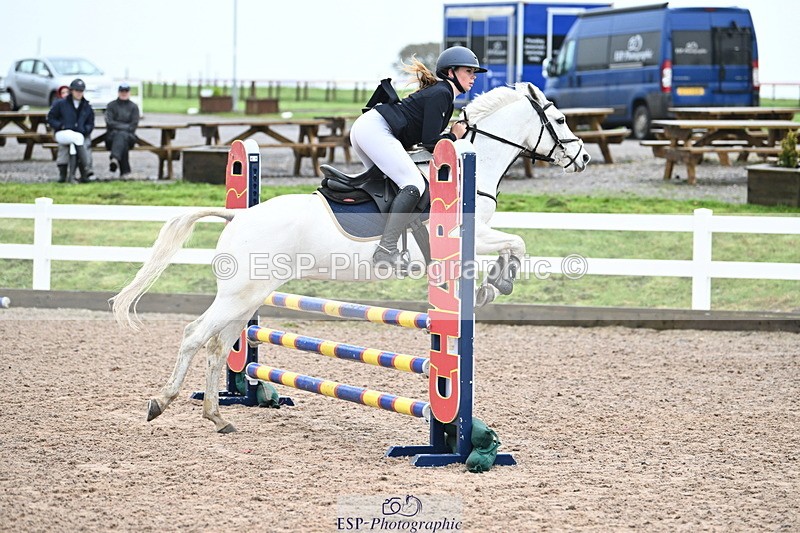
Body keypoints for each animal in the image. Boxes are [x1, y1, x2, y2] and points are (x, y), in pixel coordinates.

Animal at [111, 82, 590, 433]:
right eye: (560, 119)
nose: (583, 157)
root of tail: (237, 214)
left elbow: (515, 244)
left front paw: (493, 284)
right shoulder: (466, 236)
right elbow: (517, 243)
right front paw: (498, 283)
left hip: (250, 296)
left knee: (219, 345)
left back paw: (218, 416)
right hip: (239, 295)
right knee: (195, 335)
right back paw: (161, 402)